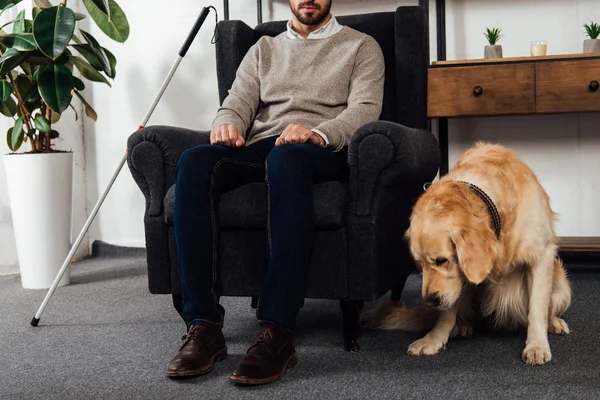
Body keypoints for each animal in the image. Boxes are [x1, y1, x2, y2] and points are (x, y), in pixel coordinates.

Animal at [360, 141, 572, 366]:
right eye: (420, 266)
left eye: (441, 260)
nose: (430, 301)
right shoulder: (458, 280)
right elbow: (446, 314)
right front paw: (433, 339)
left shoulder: (541, 256)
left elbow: (537, 309)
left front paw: (537, 346)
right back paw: (461, 325)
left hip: (562, 285)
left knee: (548, 309)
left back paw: (554, 323)